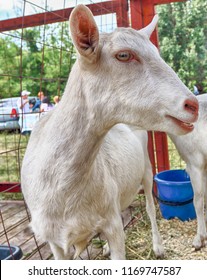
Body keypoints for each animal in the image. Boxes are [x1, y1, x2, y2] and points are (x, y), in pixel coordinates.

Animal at [21, 3, 199, 260]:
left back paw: (157, 247)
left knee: (149, 207)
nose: (192, 105)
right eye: (123, 55)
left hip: (146, 168)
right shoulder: (54, 241)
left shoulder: (113, 226)